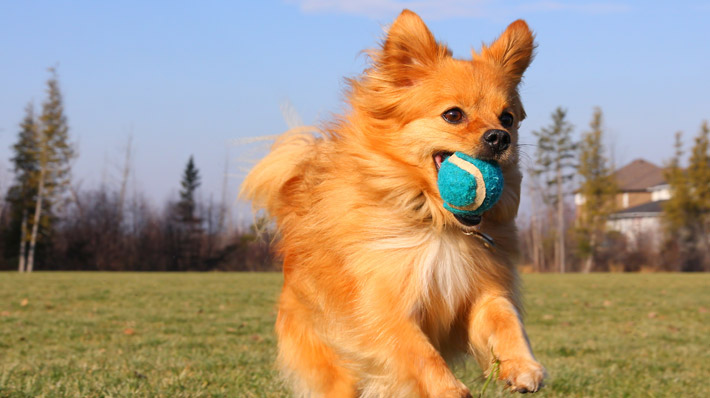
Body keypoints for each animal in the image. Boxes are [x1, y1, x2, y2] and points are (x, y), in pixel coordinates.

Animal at [242, 9, 548, 398]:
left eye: (507, 118)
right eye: (453, 115)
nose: (500, 137)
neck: (437, 223)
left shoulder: (482, 291)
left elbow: (506, 319)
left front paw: (523, 366)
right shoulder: (383, 308)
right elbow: (420, 353)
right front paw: (448, 389)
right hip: (338, 373)